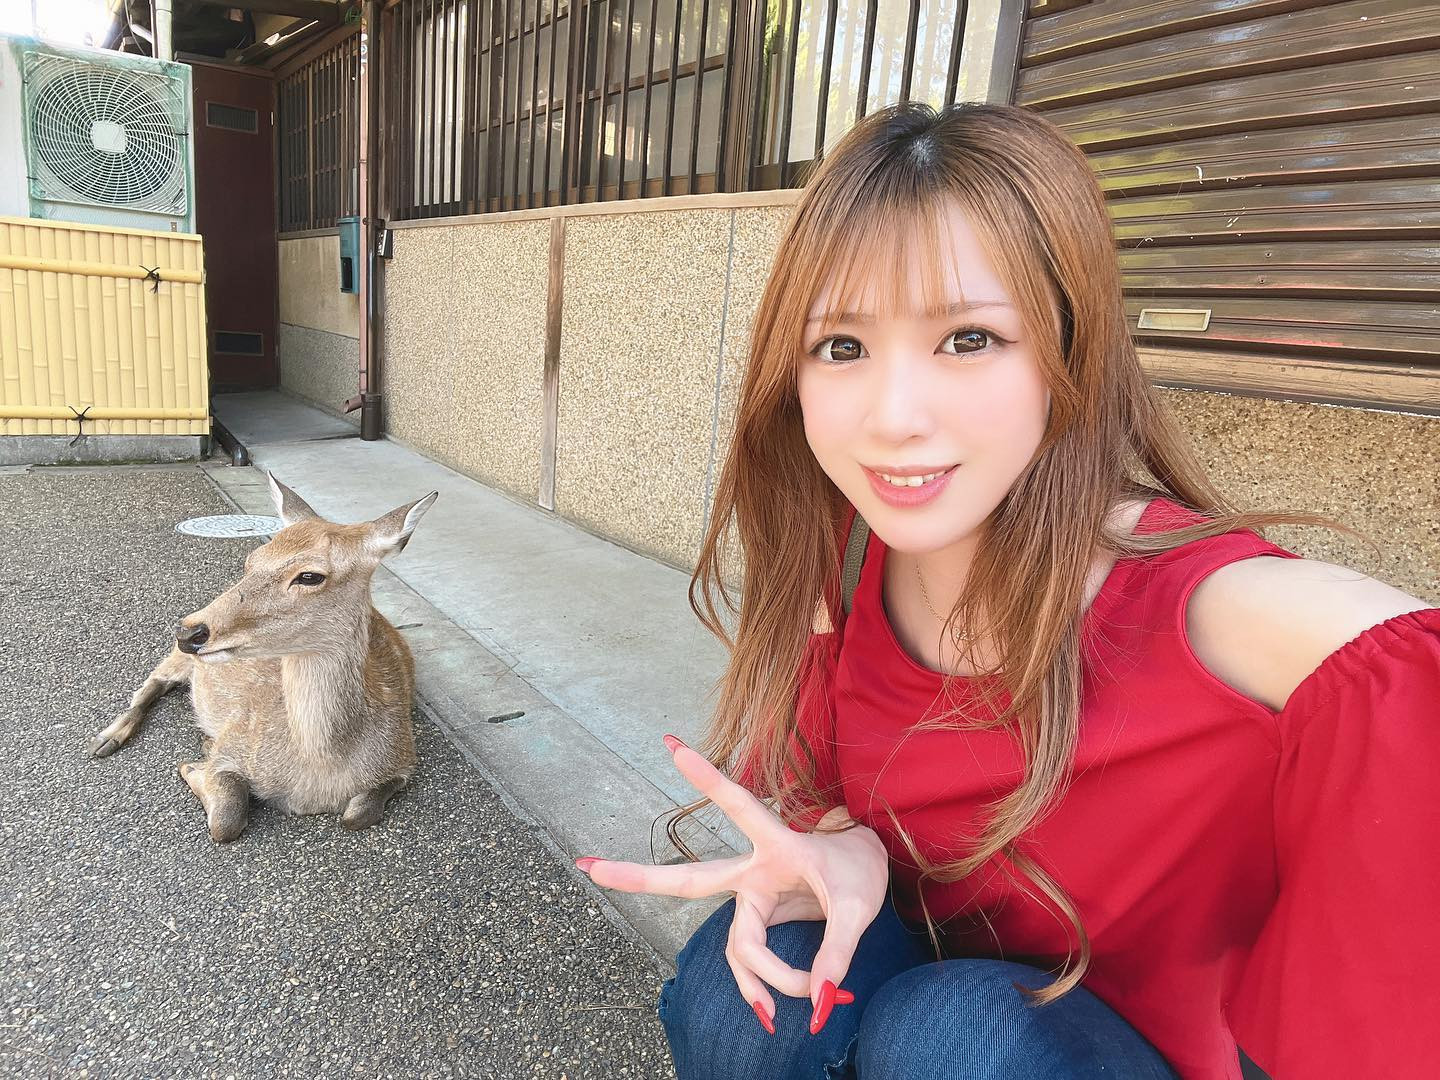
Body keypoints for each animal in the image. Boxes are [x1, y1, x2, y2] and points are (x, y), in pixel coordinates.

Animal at [88, 472, 439, 843]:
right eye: (251, 560)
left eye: (310, 575)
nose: (188, 632)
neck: (319, 774)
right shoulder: (234, 742)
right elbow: (226, 819)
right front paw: (197, 759)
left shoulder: (404, 758)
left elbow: (357, 814)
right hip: (178, 660)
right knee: (151, 683)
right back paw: (105, 739)